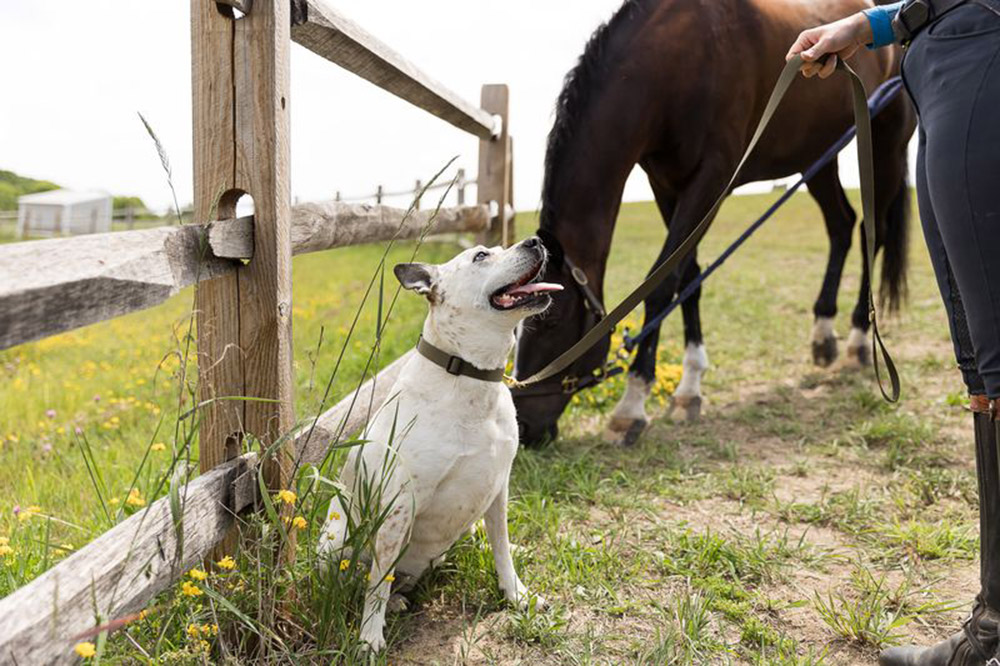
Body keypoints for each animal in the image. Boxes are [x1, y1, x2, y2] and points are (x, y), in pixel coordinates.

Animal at [316, 236, 560, 652]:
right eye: (481, 256)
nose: (535, 241)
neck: (470, 374)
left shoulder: (497, 487)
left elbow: (500, 547)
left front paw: (516, 595)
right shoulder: (399, 505)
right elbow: (377, 581)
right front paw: (369, 638)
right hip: (334, 542)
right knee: (367, 577)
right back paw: (394, 601)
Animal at [516, 1, 916, 446]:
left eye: (549, 320)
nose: (523, 427)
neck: (680, 61)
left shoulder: (711, 180)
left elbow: (663, 284)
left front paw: (631, 406)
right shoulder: (665, 184)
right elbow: (687, 277)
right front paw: (689, 388)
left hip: (884, 148)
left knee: (870, 234)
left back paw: (858, 341)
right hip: (818, 155)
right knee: (841, 226)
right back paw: (823, 333)